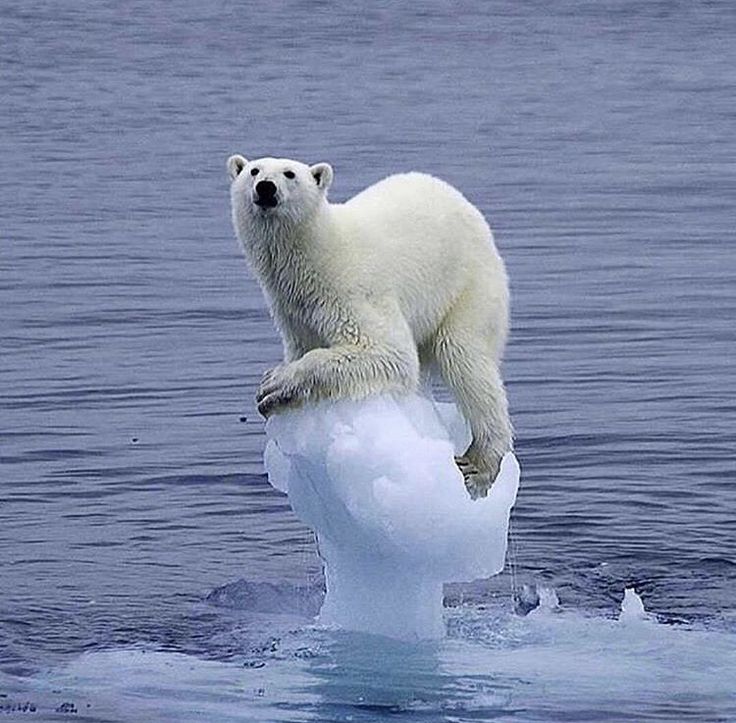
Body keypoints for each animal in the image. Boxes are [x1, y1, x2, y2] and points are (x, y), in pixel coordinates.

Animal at [229, 155, 512, 494]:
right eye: (254, 170)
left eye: (290, 173)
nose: (266, 188)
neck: (316, 253)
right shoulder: (293, 310)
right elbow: (304, 345)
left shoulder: (351, 290)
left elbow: (387, 351)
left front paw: (274, 384)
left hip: (469, 284)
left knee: (465, 358)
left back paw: (480, 463)